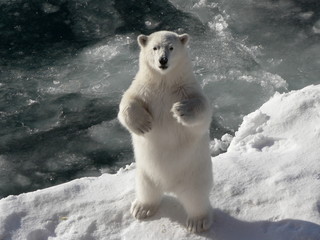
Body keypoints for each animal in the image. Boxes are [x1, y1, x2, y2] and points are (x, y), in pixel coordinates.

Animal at [117, 30, 212, 232]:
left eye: (171, 47)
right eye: (154, 48)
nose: (162, 60)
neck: (164, 82)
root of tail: (170, 187)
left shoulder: (188, 88)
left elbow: (203, 112)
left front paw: (180, 109)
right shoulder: (144, 89)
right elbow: (127, 102)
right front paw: (143, 124)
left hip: (195, 175)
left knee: (197, 198)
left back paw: (198, 222)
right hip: (145, 172)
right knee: (146, 190)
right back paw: (141, 208)